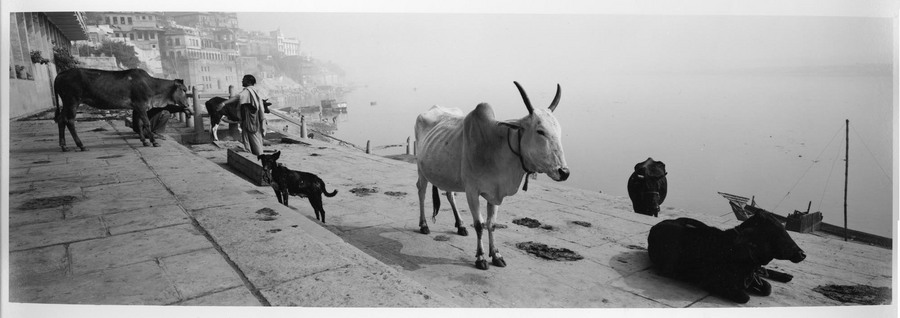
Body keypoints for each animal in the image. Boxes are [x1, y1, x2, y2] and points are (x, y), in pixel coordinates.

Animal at [53, 67, 191, 152]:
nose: (187, 105)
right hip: (72, 100)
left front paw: (144, 141)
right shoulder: (141, 105)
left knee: (61, 119)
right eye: (184, 90)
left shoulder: (137, 107)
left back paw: (64, 146)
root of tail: (60, 74)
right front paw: (153, 142)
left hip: (66, 102)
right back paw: (81, 145)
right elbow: (146, 123)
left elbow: (139, 123)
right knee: (70, 121)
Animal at [414, 82, 568, 270]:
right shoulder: (472, 191)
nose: (564, 172)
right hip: (421, 169)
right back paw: (424, 224)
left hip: (448, 175)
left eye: (558, 130)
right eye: (540, 131)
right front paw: (480, 257)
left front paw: (495, 255)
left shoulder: (495, 192)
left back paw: (460, 225)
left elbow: (491, 224)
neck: (496, 147)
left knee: (450, 195)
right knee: (421, 192)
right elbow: (479, 225)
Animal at [648, 211, 808, 304]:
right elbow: (745, 297)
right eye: (777, 233)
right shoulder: (711, 281)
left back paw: (786, 276)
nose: (802, 254)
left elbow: (768, 287)